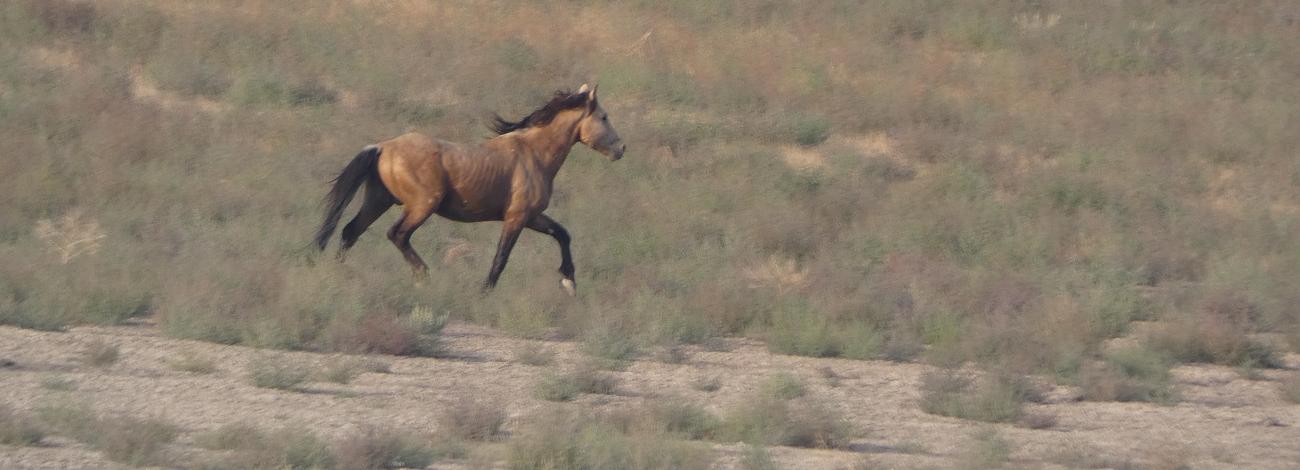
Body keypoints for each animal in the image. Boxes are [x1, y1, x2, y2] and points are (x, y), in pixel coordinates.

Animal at [309, 84, 624, 293]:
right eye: (604, 117)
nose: (621, 148)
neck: (533, 153)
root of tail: (383, 146)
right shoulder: (517, 217)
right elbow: (501, 258)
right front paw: (484, 292)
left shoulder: (532, 216)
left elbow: (562, 234)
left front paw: (569, 281)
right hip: (422, 205)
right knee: (396, 234)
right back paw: (424, 276)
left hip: (379, 200)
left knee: (351, 231)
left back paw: (340, 273)